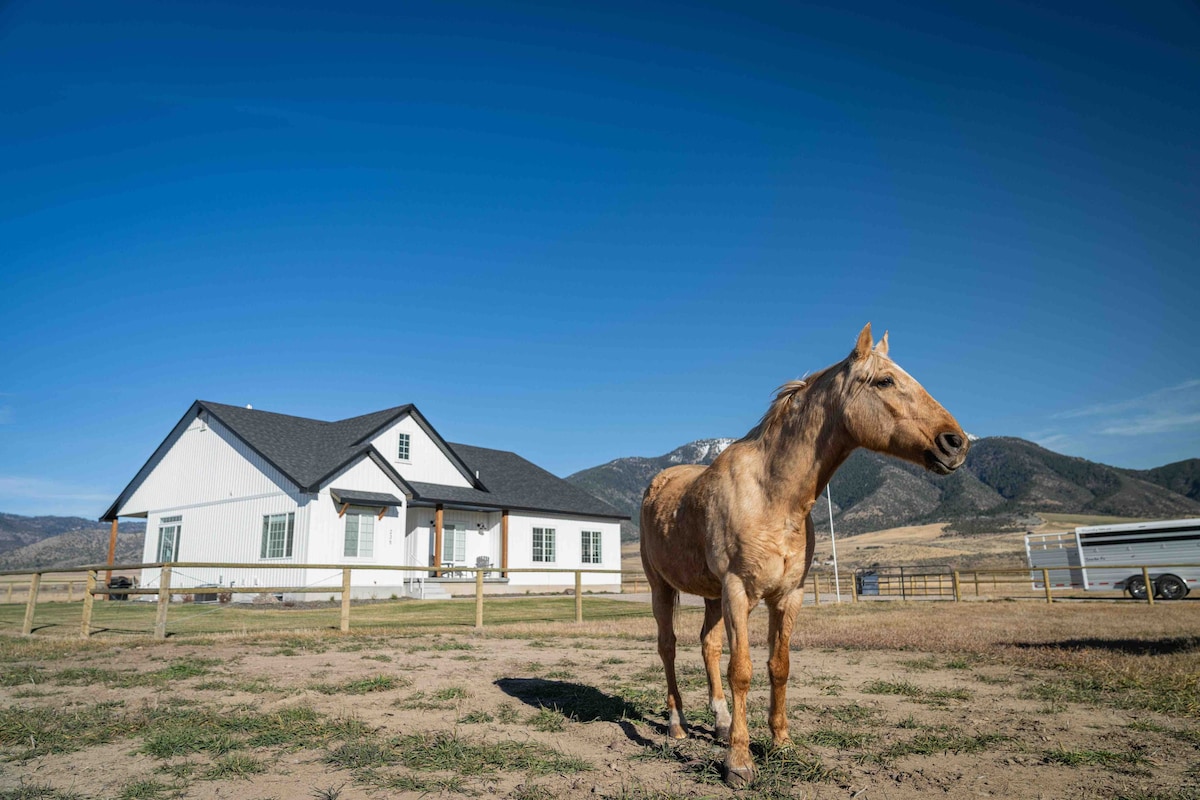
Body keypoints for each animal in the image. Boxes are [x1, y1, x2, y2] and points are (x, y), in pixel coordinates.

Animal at [643, 321, 969, 786]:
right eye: (885, 381)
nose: (956, 443)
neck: (772, 495)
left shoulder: (788, 595)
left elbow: (778, 666)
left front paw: (781, 744)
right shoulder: (738, 590)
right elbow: (741, 670)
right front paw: (739, 762)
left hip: (710, 596)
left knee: (708, 645)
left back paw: (720, 722)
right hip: (662, 588)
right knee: (668, 647)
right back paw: (677, 724)